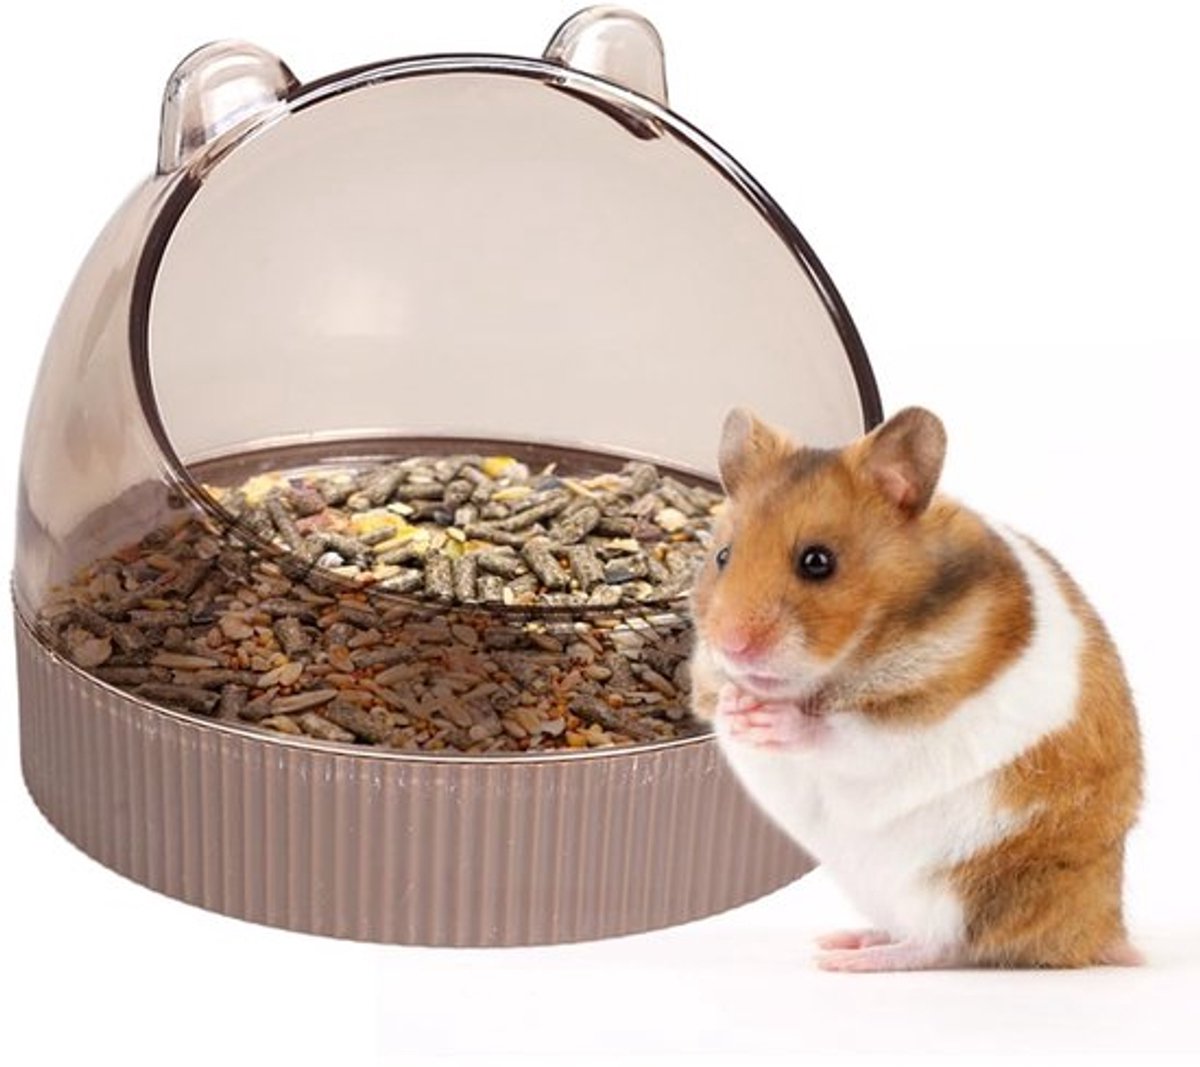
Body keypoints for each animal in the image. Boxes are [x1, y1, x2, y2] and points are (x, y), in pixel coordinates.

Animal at [688, 406, 1143, 971]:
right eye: (722, 556)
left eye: (818, 561)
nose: (731, 645)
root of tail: (1102, 931)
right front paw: (736, 705)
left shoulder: (912, 723)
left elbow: (841, 734)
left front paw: (772, 716)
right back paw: (846, 940)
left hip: (961, 884)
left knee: (943, 943)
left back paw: (847, 961)